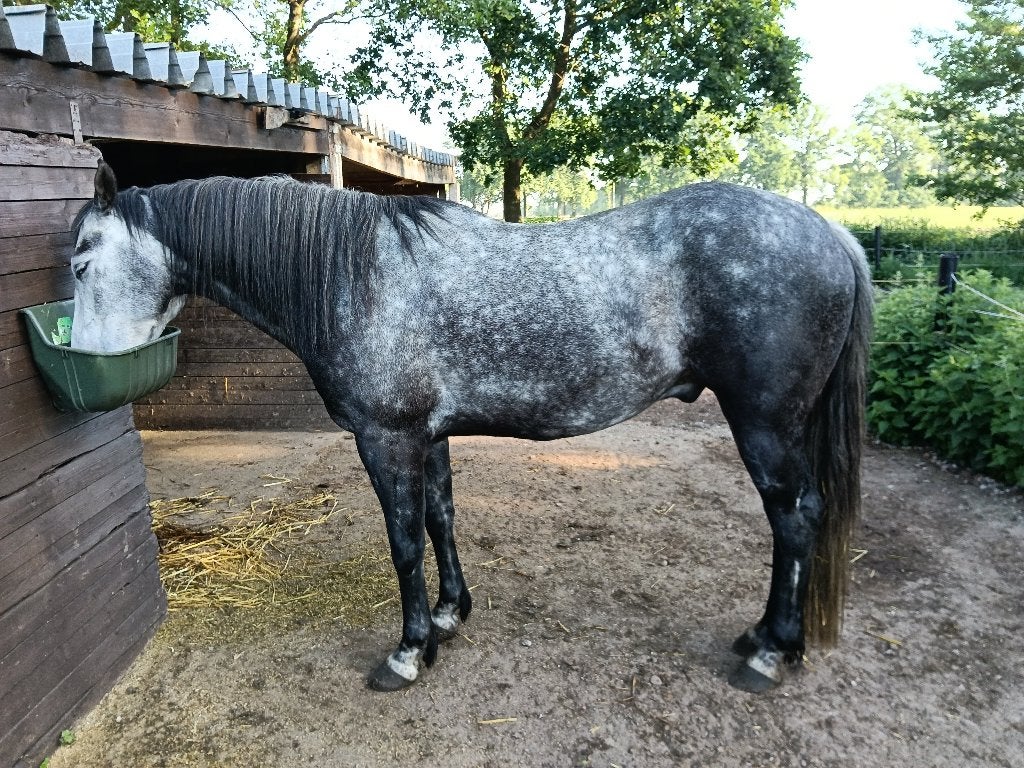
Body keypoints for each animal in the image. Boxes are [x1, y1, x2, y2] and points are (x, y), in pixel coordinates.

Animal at [70, 162, 872, 693]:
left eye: (80, 263)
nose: (83, 364)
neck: (359, 278)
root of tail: (832, 232)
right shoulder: (429, 437)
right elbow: (440, 518)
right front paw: (451, 616)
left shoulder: (386, 439)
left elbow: (401, 543)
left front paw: (408, 652)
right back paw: (762, 638)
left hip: (765, 424)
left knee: (794, 518)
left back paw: (771, 653)